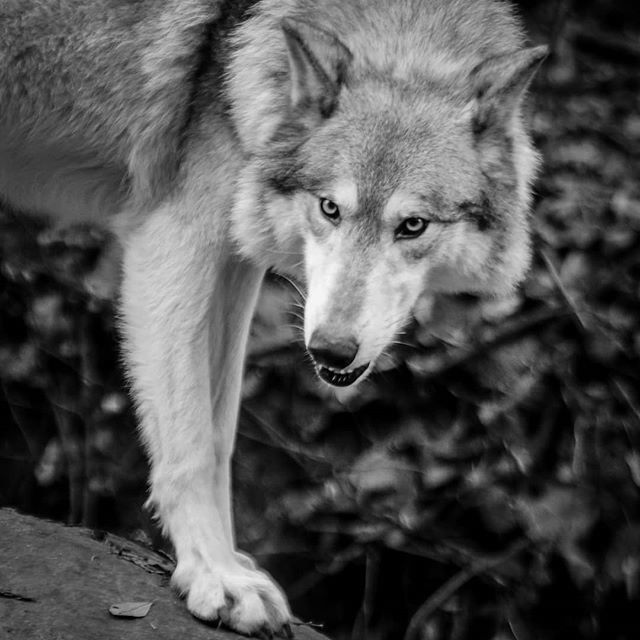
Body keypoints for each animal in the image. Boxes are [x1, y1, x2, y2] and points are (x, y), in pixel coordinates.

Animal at [0, 0, 545, 635]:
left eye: (413, 226)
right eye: (330, 208)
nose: (331, 350)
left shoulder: (236, 258)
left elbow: (220, 434)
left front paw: (226, 560)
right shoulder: (174, 237)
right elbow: (191, 440)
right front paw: (215, 576)